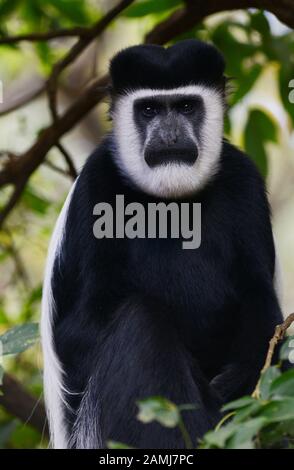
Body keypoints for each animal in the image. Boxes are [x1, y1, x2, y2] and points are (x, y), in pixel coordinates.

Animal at [41, 39, 282, 448]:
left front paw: (242, 374)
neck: (171, 202)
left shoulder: (243, 180)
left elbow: (260, 300)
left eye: (185, 107)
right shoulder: (95, 186)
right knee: (142, 324)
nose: (170, 135)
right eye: (150, 109)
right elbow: (80, 331)